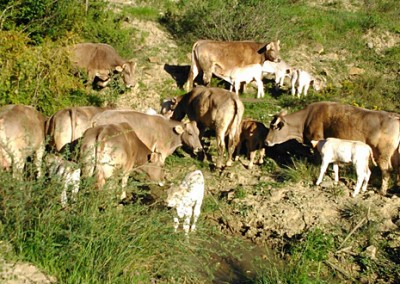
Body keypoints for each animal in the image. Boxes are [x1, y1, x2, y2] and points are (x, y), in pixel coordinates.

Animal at [266, 101, 400, 195]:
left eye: (274, 127)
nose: (266, 142)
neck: (306, 119)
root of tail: (394, 116)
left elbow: (318, 162)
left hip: (383, 155)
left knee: (386, 171)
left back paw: (382, 191)